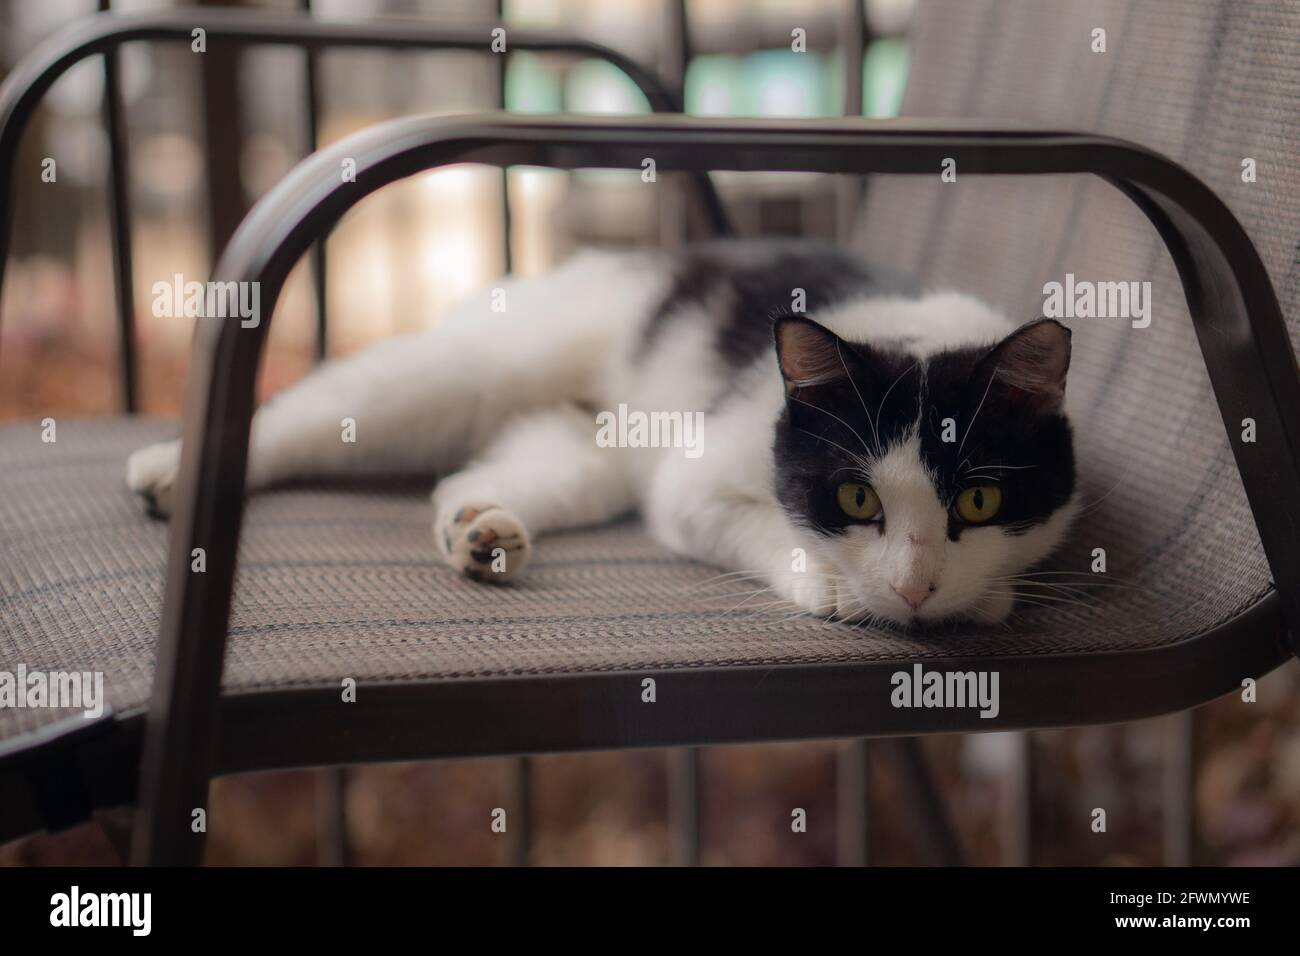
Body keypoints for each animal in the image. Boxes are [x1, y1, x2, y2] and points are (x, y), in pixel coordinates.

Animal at [124, 239, 1076, 629]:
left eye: (979, 502)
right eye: (855, 497)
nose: (915, 589)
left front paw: (980, 595)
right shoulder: (692, 486)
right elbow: (761, 527)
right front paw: (836, 584)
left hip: (583, 456)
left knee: (478, 477)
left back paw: (480, 531)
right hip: (469, 369)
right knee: (311, 412)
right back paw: (169, 471)